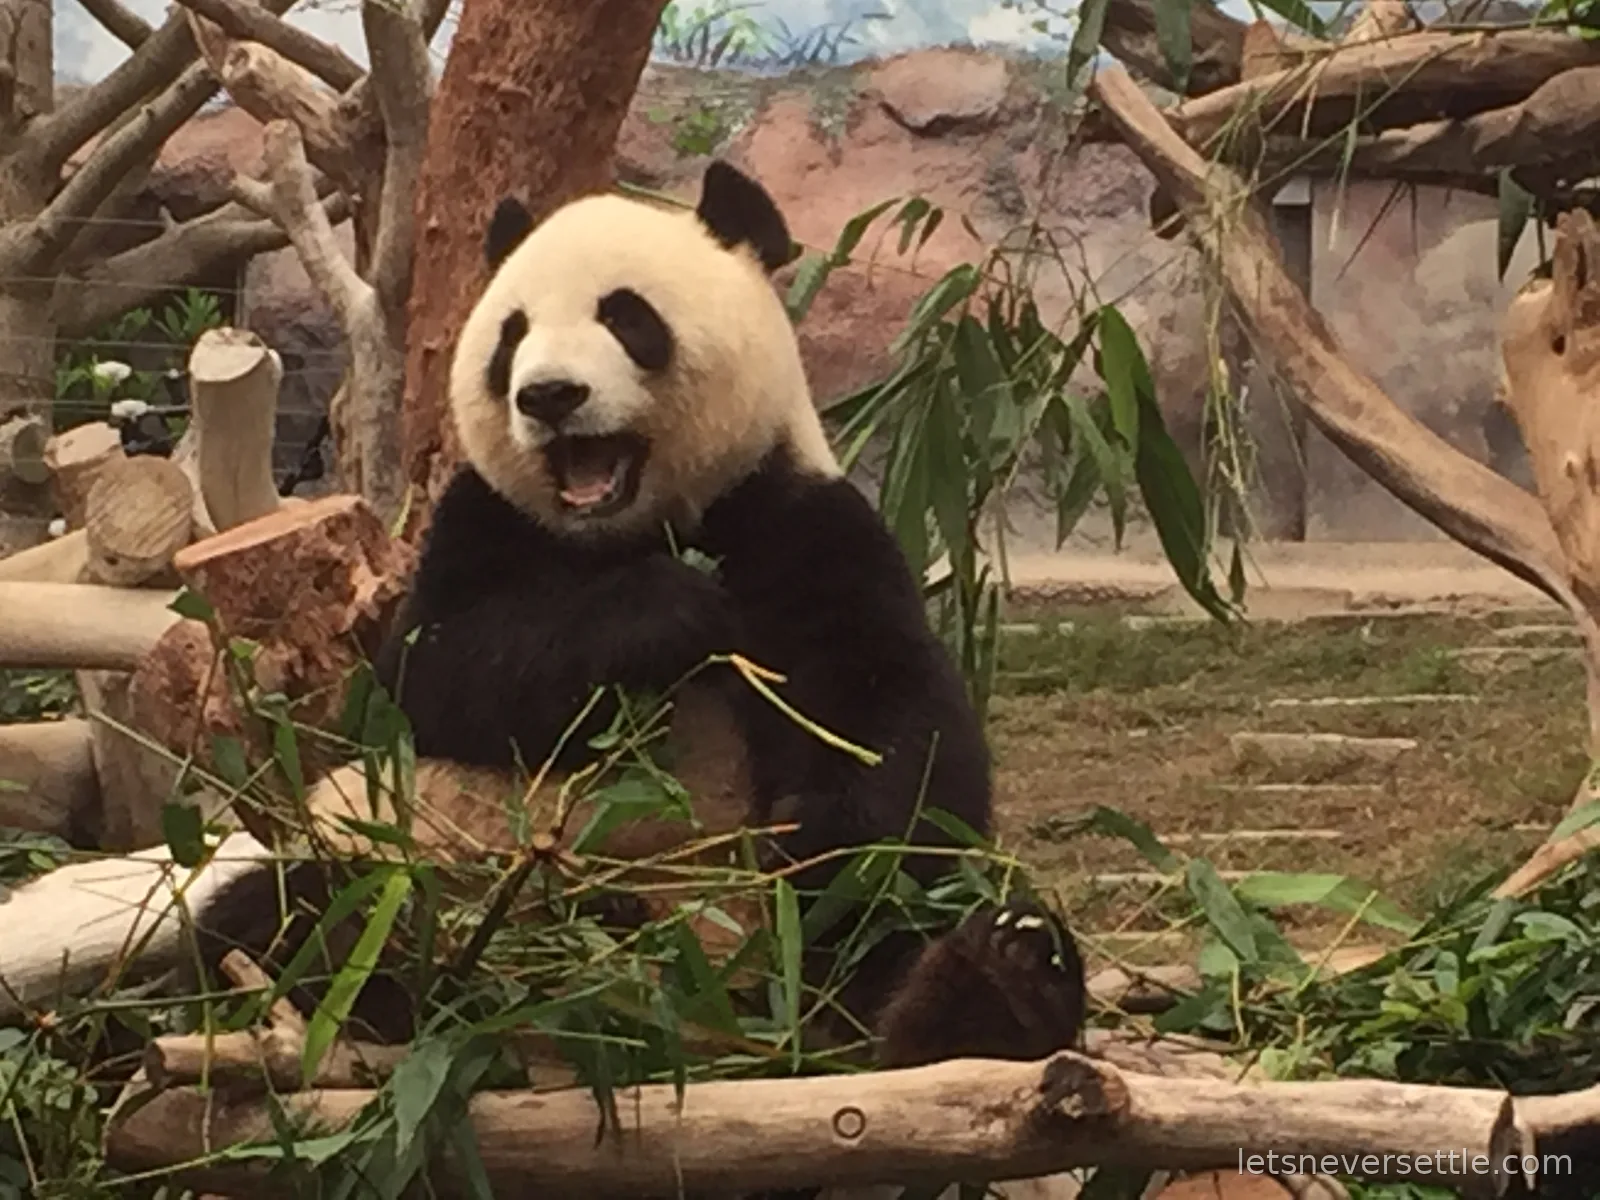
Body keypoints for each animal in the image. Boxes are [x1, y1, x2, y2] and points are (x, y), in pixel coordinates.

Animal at [191, 160, 1087, 1123]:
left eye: (627, 318)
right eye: (512, 335)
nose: (548, 396)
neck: (627, 528)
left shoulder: (800, 518)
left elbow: (893, 728)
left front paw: (822, 832)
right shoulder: (478, 527)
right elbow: (429, 679)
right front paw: (668, 610)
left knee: (883, 948)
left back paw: (996, 985)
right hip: (400, 862)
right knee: (293, 920)